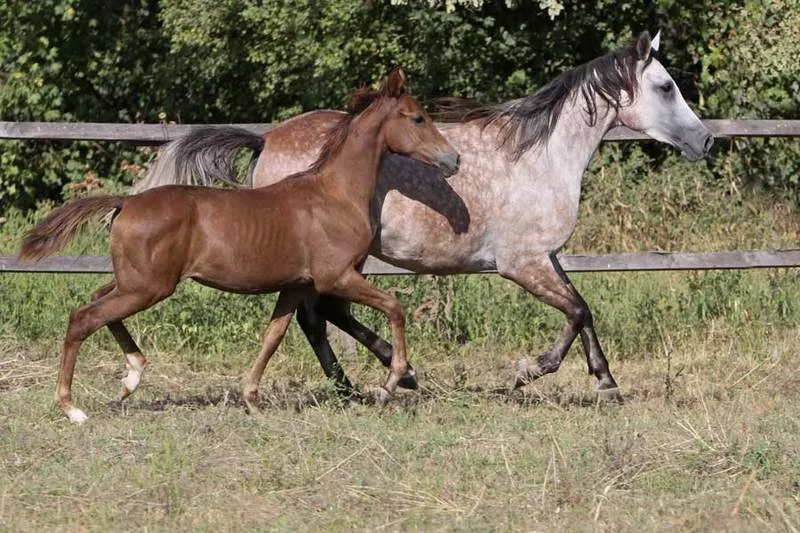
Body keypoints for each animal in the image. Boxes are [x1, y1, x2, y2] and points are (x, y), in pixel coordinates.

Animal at [18, 67, 460, 424]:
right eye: (418, 117)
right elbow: (394, 307)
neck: (335, 194)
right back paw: (73, 408)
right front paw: (391, 382)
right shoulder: (336, 277)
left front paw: (251, 399)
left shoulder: (295, 285)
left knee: (95, 302)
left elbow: (273, 335)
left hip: (132, 282)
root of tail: (126, 202)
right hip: (147, 287)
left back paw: (131, 376)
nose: (453, 159)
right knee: (83, 318)